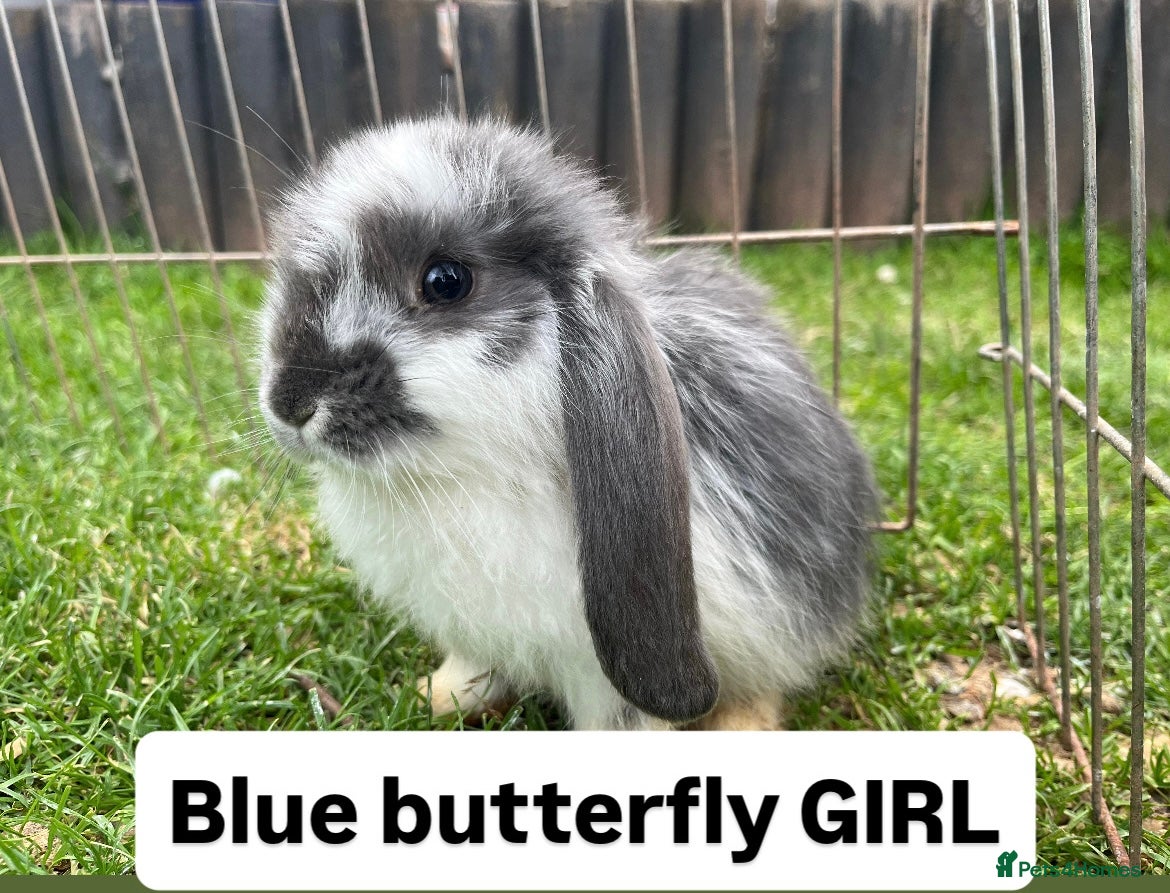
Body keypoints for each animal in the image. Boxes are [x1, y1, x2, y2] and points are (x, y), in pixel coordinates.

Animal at [258, 116, 878, 731]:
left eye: (446, 281)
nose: (291, 404)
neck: (466, 474)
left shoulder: (608, 673)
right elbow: (475, 665)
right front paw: (437, 696)